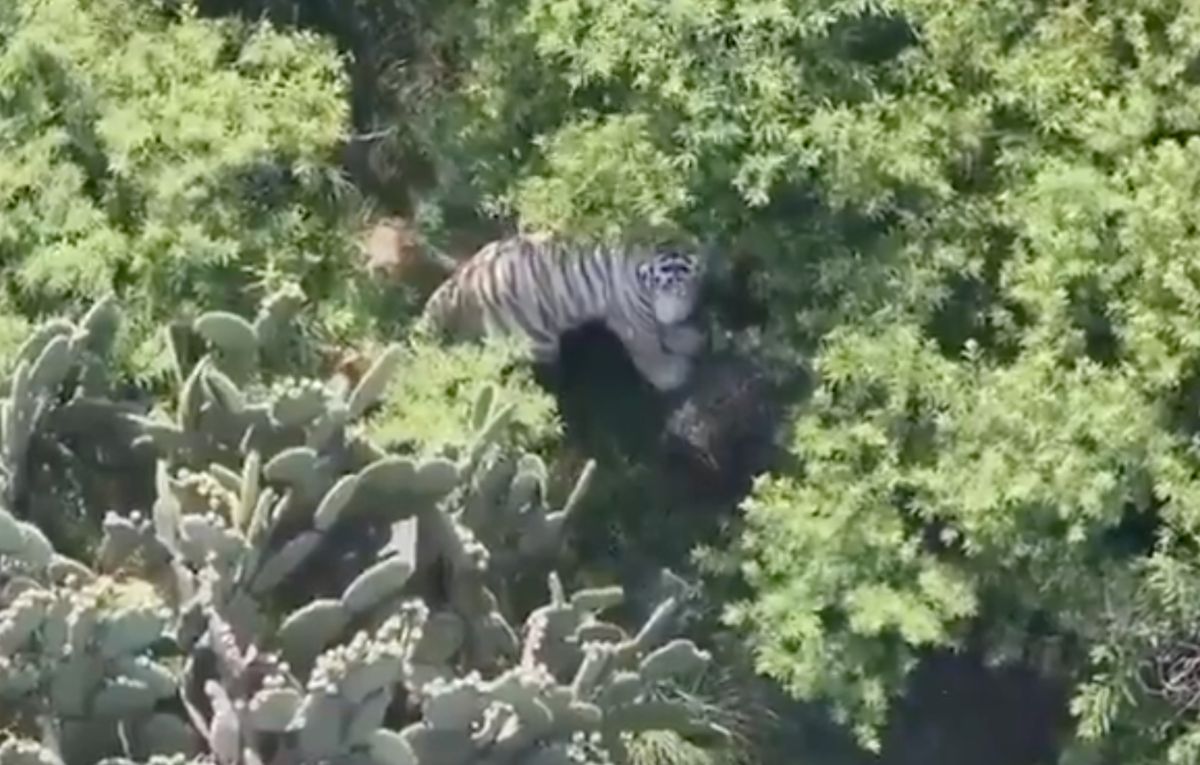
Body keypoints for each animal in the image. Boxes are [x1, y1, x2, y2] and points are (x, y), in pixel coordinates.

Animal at [415, 232, 708, 391]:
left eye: (688, 282)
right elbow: (650, 348)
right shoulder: (631, 318)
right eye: (665, 283)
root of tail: (461, 279)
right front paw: (671, 374)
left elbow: (664, 331)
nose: (678, 312)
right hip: (538, 341)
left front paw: (686, 338)